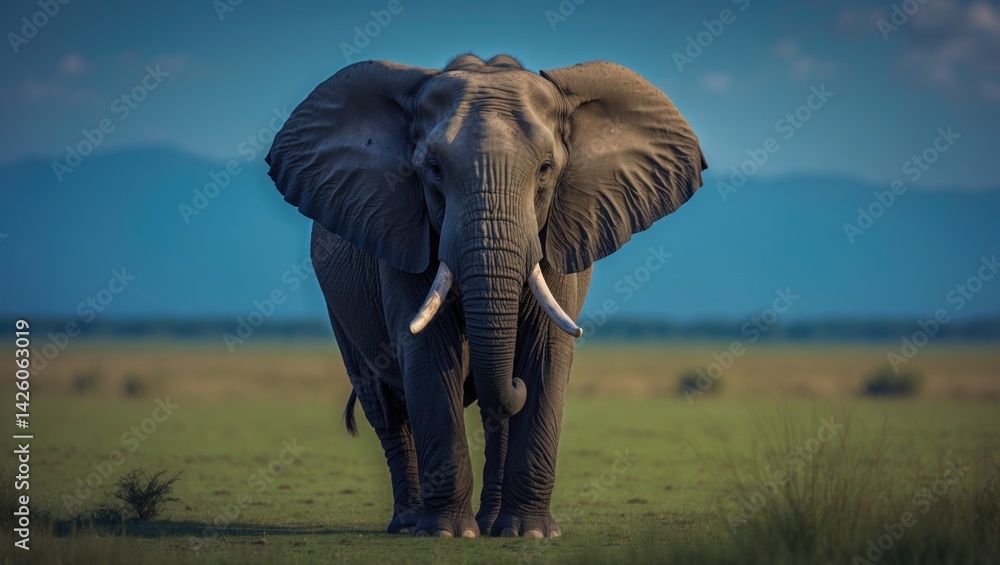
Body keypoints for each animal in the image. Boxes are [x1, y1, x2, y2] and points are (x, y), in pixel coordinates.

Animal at [265, 54, 706, 538]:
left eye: (546, 169)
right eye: (433, 170)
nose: (512, 382)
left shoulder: (559, 235)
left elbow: (545, 352)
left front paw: (532, 533)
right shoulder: (404, 232)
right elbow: (427, 350)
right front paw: (445, 533)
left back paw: (496, 524)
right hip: (340, 311)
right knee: (385, 408)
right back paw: (409, 523)